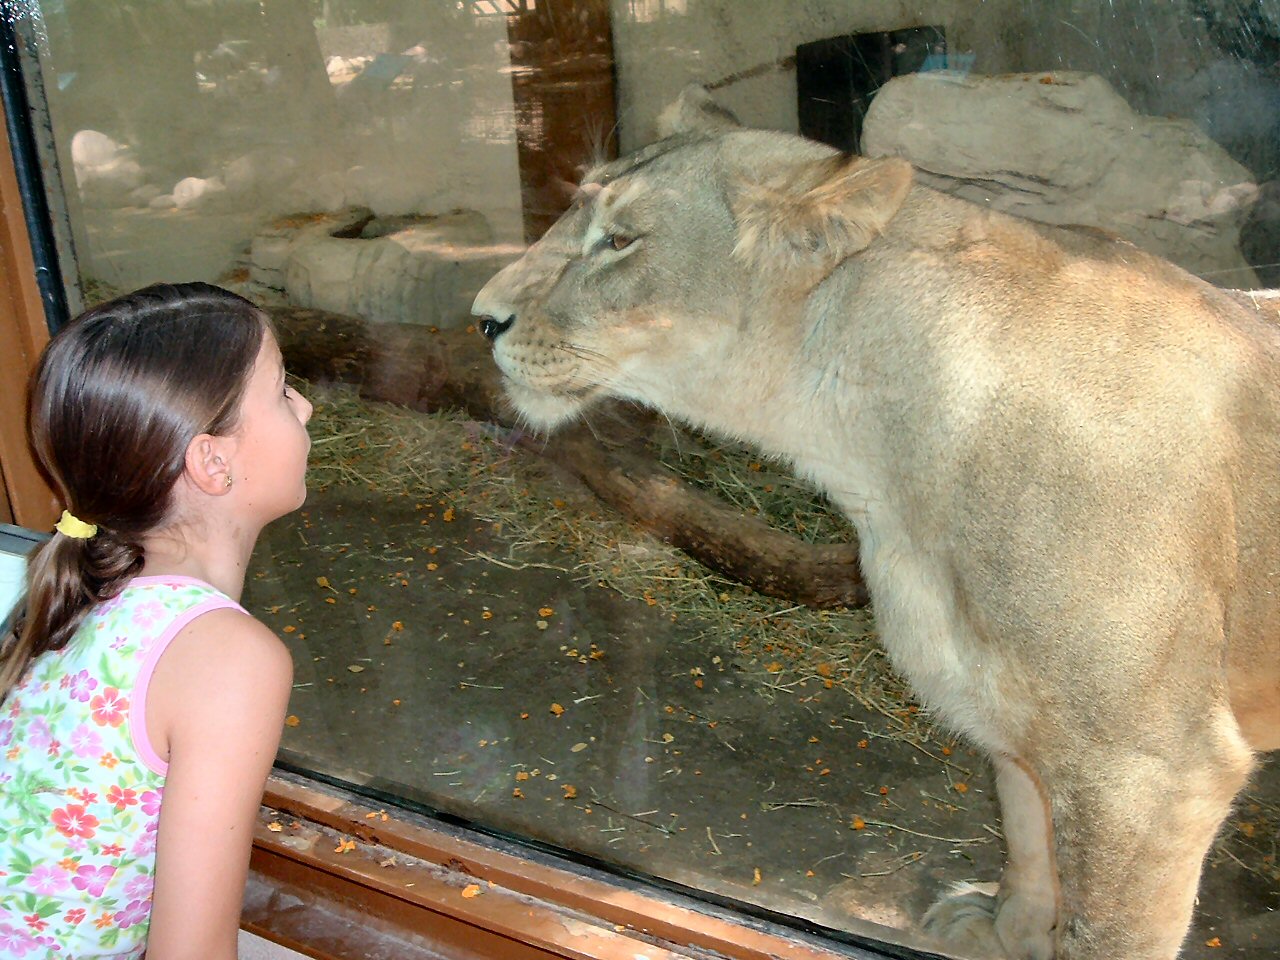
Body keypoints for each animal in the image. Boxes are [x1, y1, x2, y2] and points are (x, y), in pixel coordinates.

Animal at [471, 87, 1280, 960]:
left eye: (620, 242)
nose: (481, 317)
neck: (873, 466)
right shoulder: (1008, 708)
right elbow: (1028, 834)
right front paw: (1006, 930)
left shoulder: (1149, 771)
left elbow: (1104, 928)